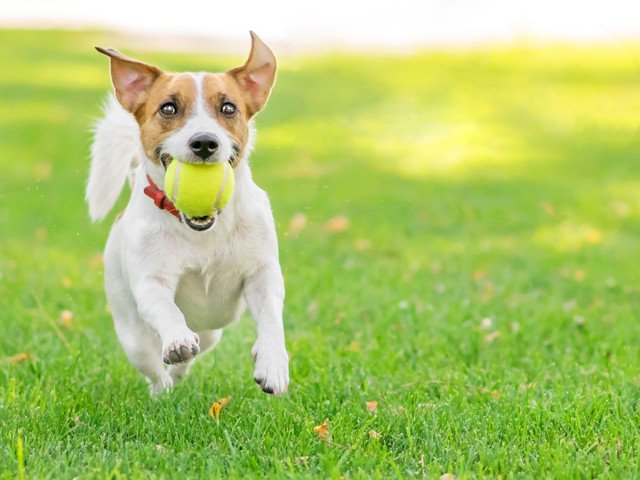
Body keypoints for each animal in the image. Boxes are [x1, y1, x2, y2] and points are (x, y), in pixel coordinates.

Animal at [87, 31, 290, 396]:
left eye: (228, 107)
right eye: (168, 107)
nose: (205, 142)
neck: (205, 230)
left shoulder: (262, 274)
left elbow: (271, 318)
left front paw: (273, 364)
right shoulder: (151, 282)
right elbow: (166, 310)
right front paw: (177, 340)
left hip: (212, 331)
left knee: (197, 349)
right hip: (132, 334)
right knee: (156, 367)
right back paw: (164, 388)